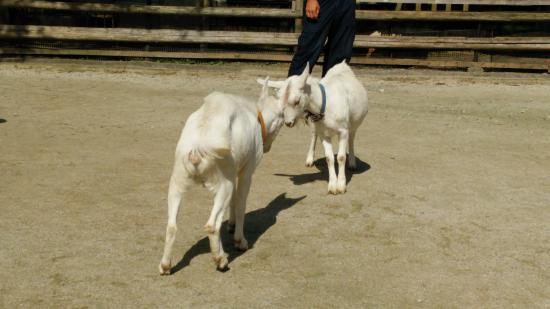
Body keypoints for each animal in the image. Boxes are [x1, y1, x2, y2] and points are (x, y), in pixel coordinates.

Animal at [158, 78, 284, 274]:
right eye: (283, 118)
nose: (268, 147)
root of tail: (198, 147)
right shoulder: (246, 171)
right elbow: (240, 202)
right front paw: (240, 240)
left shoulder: (235, 171)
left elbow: (234, 202)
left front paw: (231, 225)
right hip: (224, 184)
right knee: (212, 225)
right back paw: (221, 260)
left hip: (177, 181)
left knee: (171, 225)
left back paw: (165, 265)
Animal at [260, 60, 368, 194]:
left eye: (296, 101)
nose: (288, 123)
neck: (326, 104)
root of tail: (342, 65)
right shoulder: (323, 133)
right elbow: (329, 158)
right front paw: (332, 186)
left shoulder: (343, 131)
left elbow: (341, 157)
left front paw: (341, 185)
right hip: (316, 125)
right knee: (313, 135)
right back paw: (309, 159)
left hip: (353, 124)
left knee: (352, 138)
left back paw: (352, 163)